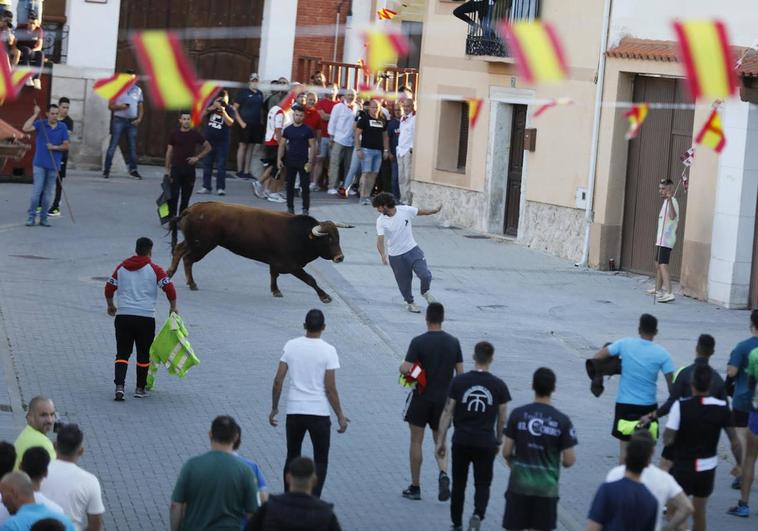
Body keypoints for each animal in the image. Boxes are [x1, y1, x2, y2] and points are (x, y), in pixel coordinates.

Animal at [166, 204, 354, 304]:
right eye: (328, 239)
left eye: (338, 237)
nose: (340, 257)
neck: (300, 234)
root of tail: (192, 209)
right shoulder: (291, 265)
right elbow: (310, 279)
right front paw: (325, 296)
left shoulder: (276, 263)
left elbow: (273, 275)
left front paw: (275, 291)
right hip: (203, 245)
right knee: (188, 258)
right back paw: (191, 283)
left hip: (194, 242)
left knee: (179, 250)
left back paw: (170, 273)